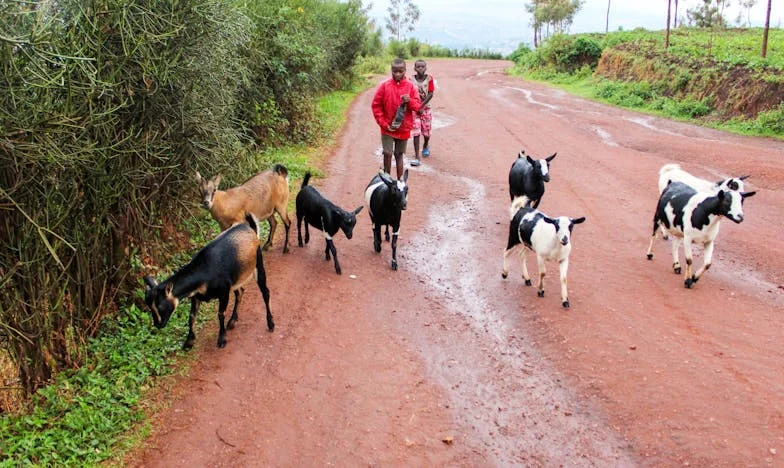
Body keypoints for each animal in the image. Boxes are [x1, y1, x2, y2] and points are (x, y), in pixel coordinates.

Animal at [142, 214, 274, 350]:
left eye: (160, 306)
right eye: (149, 306)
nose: (158, 324)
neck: (204, 271)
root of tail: (249, 227)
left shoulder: (223, 291)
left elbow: (220, 314)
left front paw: (222, 339)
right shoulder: (196, 296)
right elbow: (191, 317)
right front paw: (189, 342)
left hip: (258, 264)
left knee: (265, 292)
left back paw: (270, 323)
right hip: (236, 277)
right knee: (240, 292)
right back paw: (232, 321)